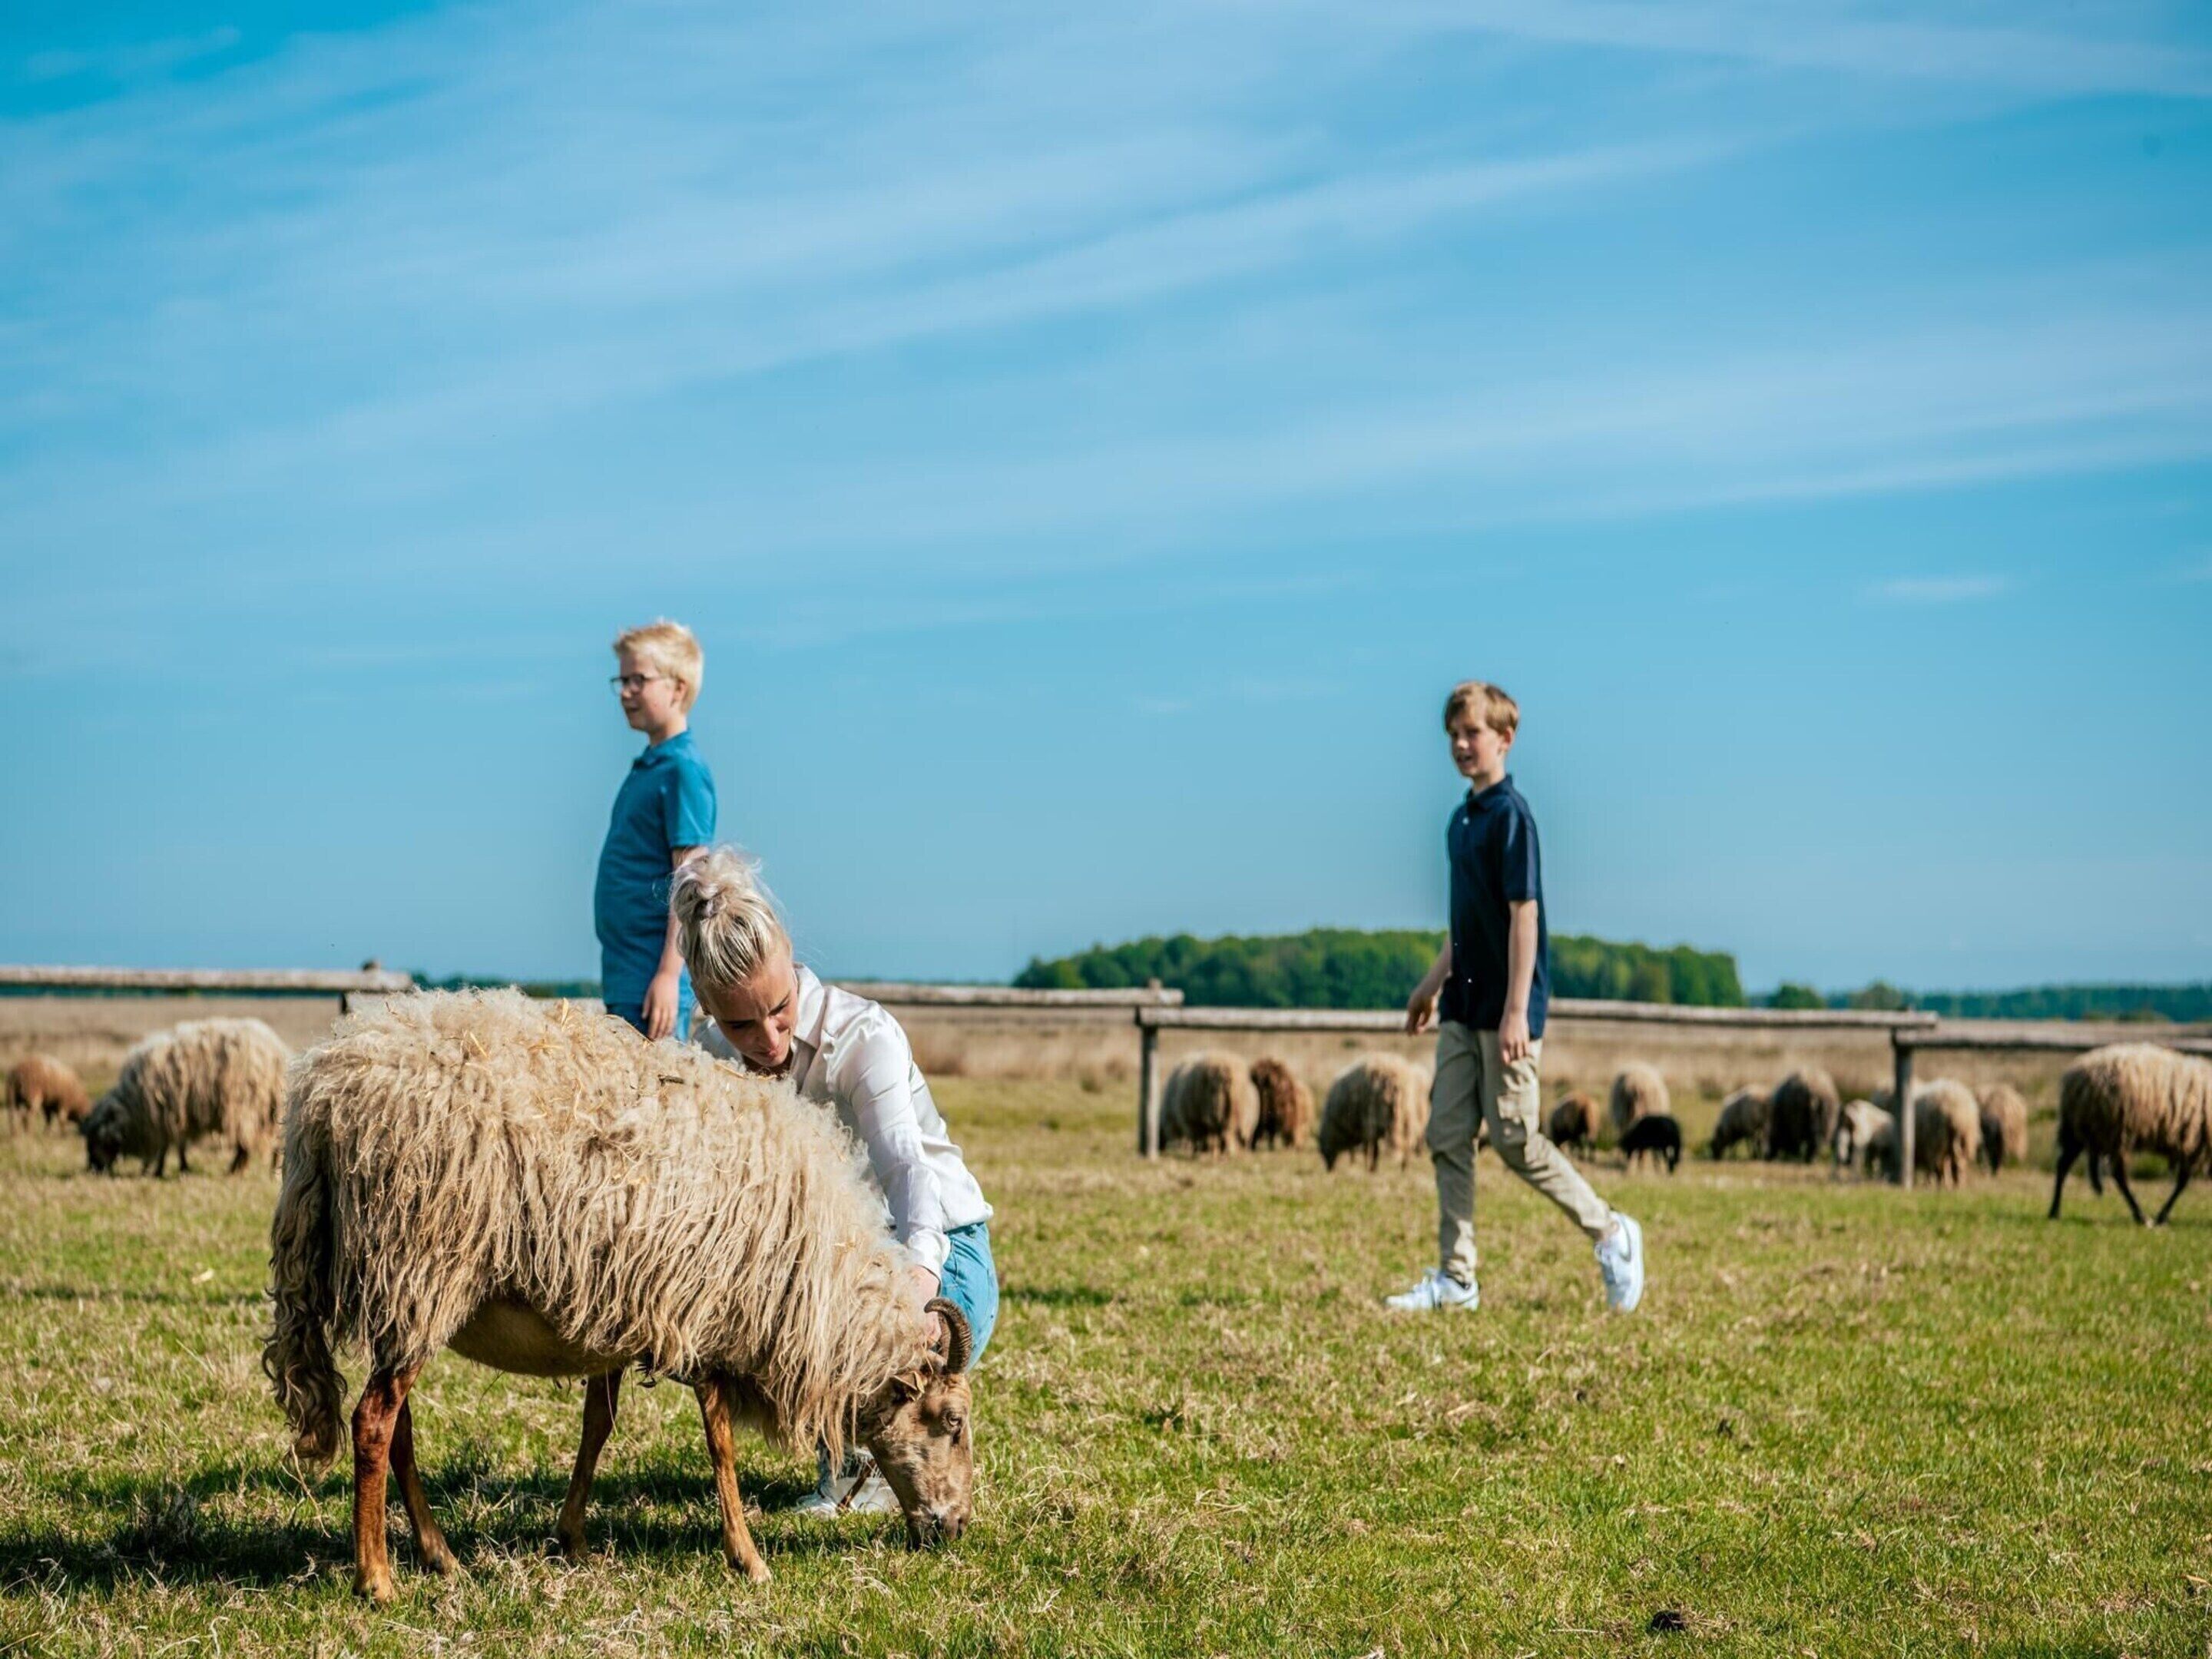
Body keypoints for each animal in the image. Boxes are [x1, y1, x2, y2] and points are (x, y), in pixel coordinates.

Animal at [82, 1018, 288, 1176]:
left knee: (246, 1143)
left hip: (245, 1106)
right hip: (267, 1108)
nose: (93, 1170)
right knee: (265, 1141)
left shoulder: (167, 1113)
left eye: (96, 1142)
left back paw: (242, 1170)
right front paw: (179, 1167)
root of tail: (278, 1052)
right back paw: (259, 1170)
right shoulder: (177, 1115)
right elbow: (178, 1144)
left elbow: (169, 1145)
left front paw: (162, 1170)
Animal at [264, 988, 974, 1601]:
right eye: (953, 1422)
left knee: (396, 1428)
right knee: (373, 1422)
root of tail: (324, 1093)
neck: (820, 1286)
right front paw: (748, 1557)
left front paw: (571, 1539)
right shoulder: (702, 1311)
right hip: (423, 1264)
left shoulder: (618, 1312)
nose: (958, 1527)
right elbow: (720, 1441)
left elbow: (596, 1429)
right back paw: (377, 1578)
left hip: (403, 1290)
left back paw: (439, 1555)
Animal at [1160, 1052, 1259, 1155]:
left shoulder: (1193, 1122)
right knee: (1230, 1133)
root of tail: (1224, 1068)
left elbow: (1199, 1138)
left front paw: (1199, 1151)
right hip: (1233, 1113)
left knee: (1226, 1134)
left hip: (1220, 1114)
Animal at [1318, 1055, 1430, 1171]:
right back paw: (1404, 1167)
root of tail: (1394, 1078)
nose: (1329, 1169)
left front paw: (1370, 1168)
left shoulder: (1365, 1126)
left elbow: (1370, 1149)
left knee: (1374, 1146)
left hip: (1375, 1117)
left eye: (1322, 1149)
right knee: (1408, 1142)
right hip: (1407, 1114)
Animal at [2049, 1043, 2212, 1226]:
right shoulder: (2195, 1144)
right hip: (2114, 1130)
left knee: (2063, 1165)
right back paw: (2140, 1216)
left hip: (2077, 1128)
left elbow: (2182, 1181)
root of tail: (2074, 1077)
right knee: (2119, 1175)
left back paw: (2054, 1212)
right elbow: (2182, 1183)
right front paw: (2162, 1217)